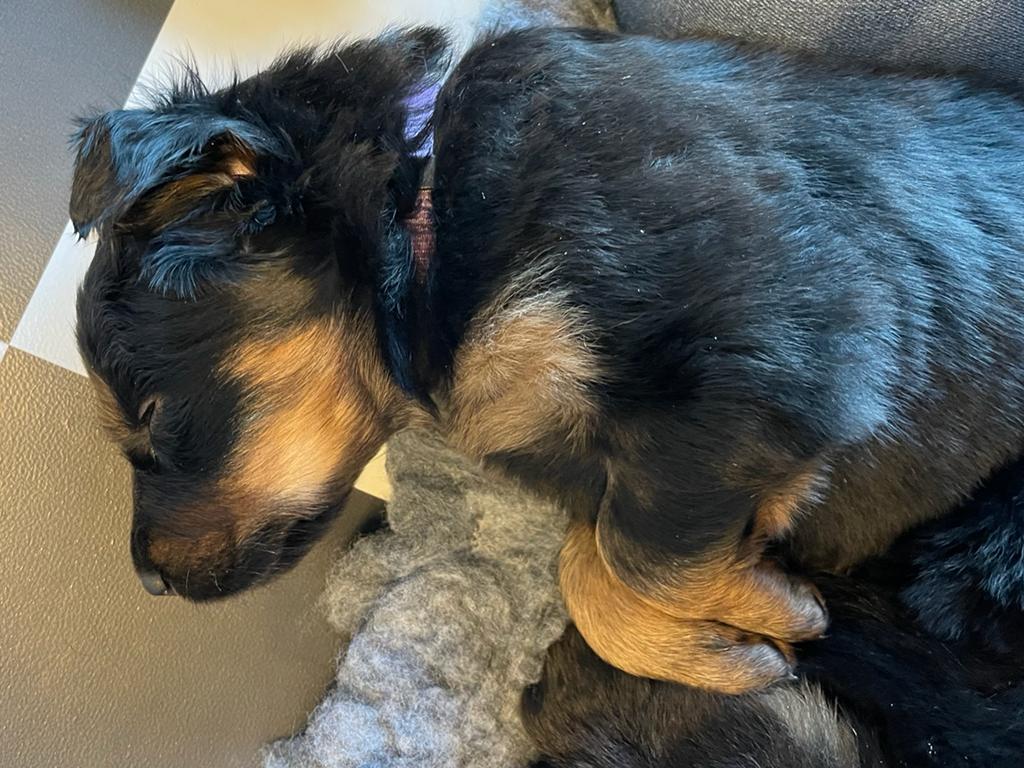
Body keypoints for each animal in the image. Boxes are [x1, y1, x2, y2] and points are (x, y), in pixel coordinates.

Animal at [72, 26, 1024, 692]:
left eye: (153, 417)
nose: (147, 582)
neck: (424, 208)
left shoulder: (781, 345)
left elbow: (640, 554)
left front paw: (768, 607)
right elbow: (591, 564)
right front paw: (724, 644)